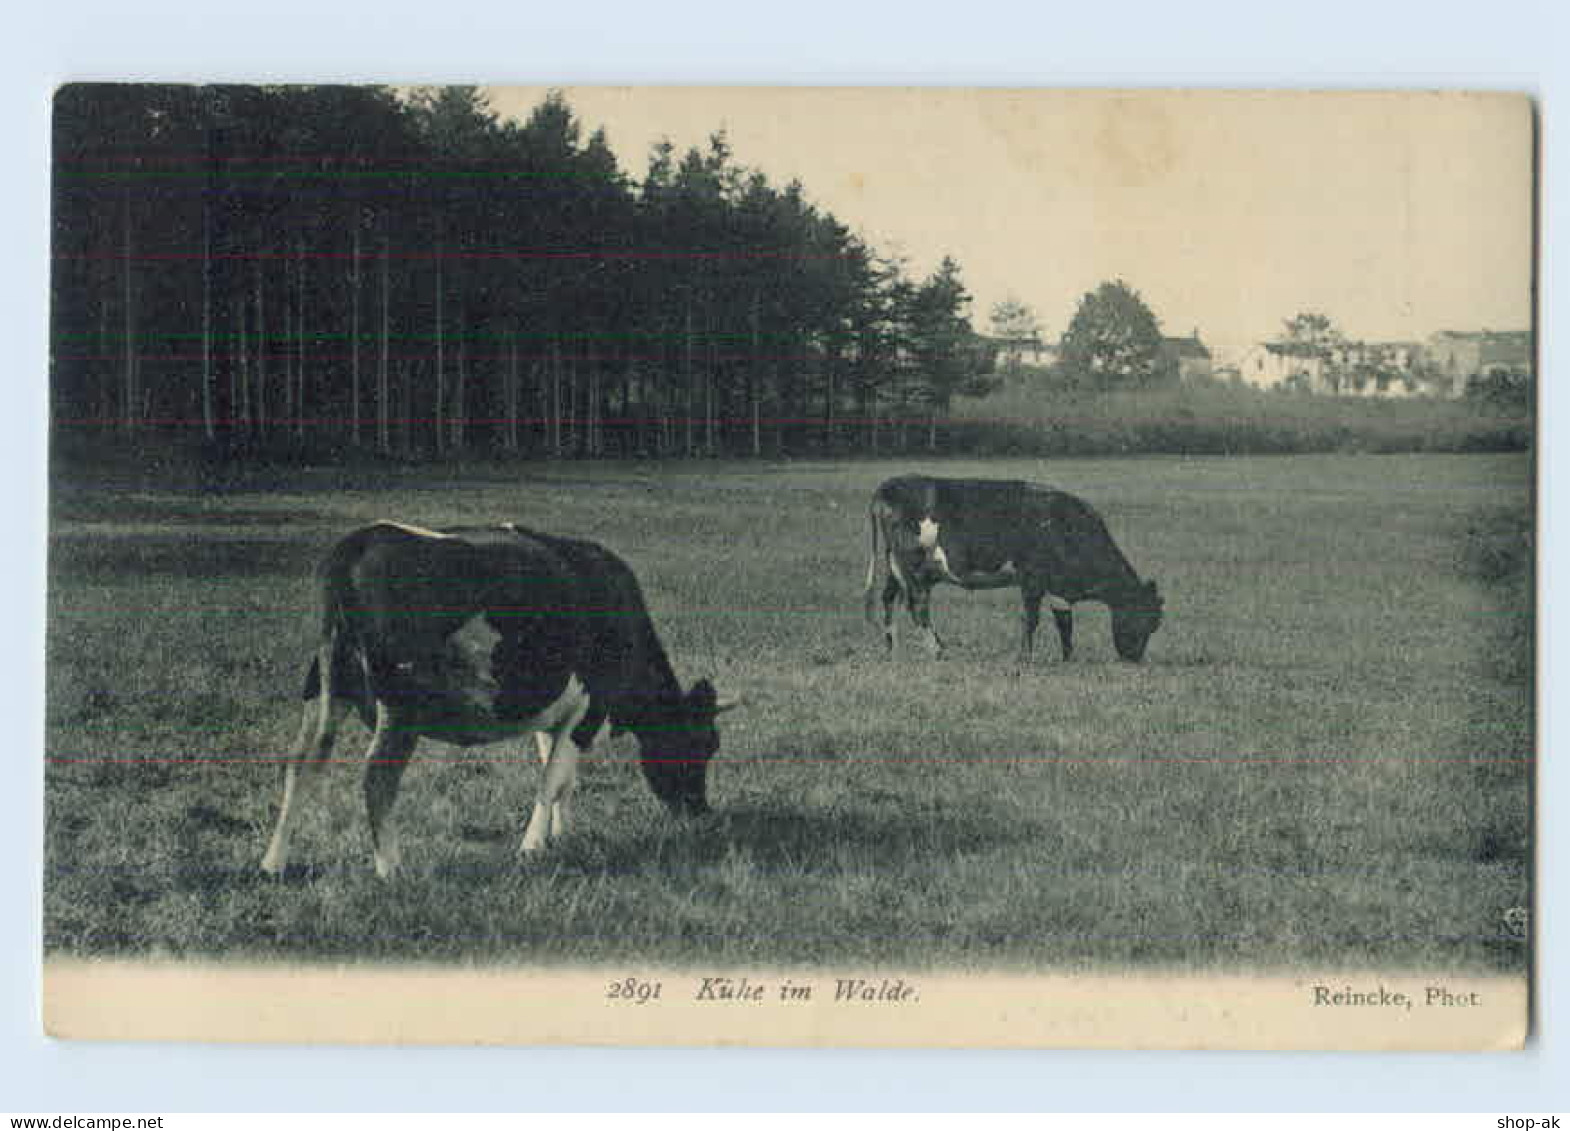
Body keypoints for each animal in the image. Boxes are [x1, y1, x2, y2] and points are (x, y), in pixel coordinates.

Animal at [260, 518, 737, 873]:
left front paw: (561, 834)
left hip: (326, 689)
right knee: (377, 776)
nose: (701, 812)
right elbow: (552, 779)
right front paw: (531, 848)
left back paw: (273, 863)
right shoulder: (591, 707)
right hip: (401, 704)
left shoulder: (555, 710)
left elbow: (559, 775)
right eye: (704, 743)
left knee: (300, 763)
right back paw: (390, 869)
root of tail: (359, 541)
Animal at [866, 474, 1161, 666]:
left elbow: (1064, 622)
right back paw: (938, 651)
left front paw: (1068, 658)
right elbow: (1030, 619)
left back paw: (892, 650)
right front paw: (1024, 659)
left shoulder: (1058, 585)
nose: (1133, 659)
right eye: (1146, 620)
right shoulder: (1032, 578)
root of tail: (890, 484)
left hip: (895, 566)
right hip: (914, 564)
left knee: (888, 598)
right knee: (918, 607)